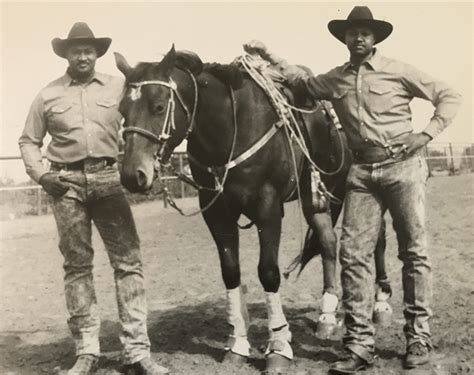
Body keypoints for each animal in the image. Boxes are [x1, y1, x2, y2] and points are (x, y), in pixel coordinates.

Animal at [114, 45, 388, 372]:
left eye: (157, 106)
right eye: (121, 111)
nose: (132, 175)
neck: (233, 126)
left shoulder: (267, 208)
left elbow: (268, 272)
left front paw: (279, 347)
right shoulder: (216, 212)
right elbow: (231, 272)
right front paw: (238, 344)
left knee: (378, 241)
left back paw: (381, 304)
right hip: (317, 200)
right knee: (328, 244)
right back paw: (326, 316)